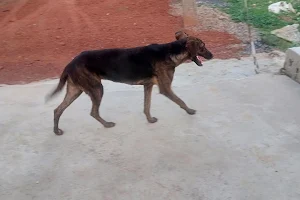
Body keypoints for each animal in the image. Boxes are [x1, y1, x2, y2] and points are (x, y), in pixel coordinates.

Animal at [45, 30, 213, 134]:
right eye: (203, 47)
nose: (212, 55)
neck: (172, 51)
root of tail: (70, 64)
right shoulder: (165, 88)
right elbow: (181, 101)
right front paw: (190, 111)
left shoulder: (148, 86)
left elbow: (146, 106)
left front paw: (150, 120)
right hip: (96, 89)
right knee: (93, 112)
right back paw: (107, 124)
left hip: (75, 90)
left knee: (57, 110)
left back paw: (56, 131)